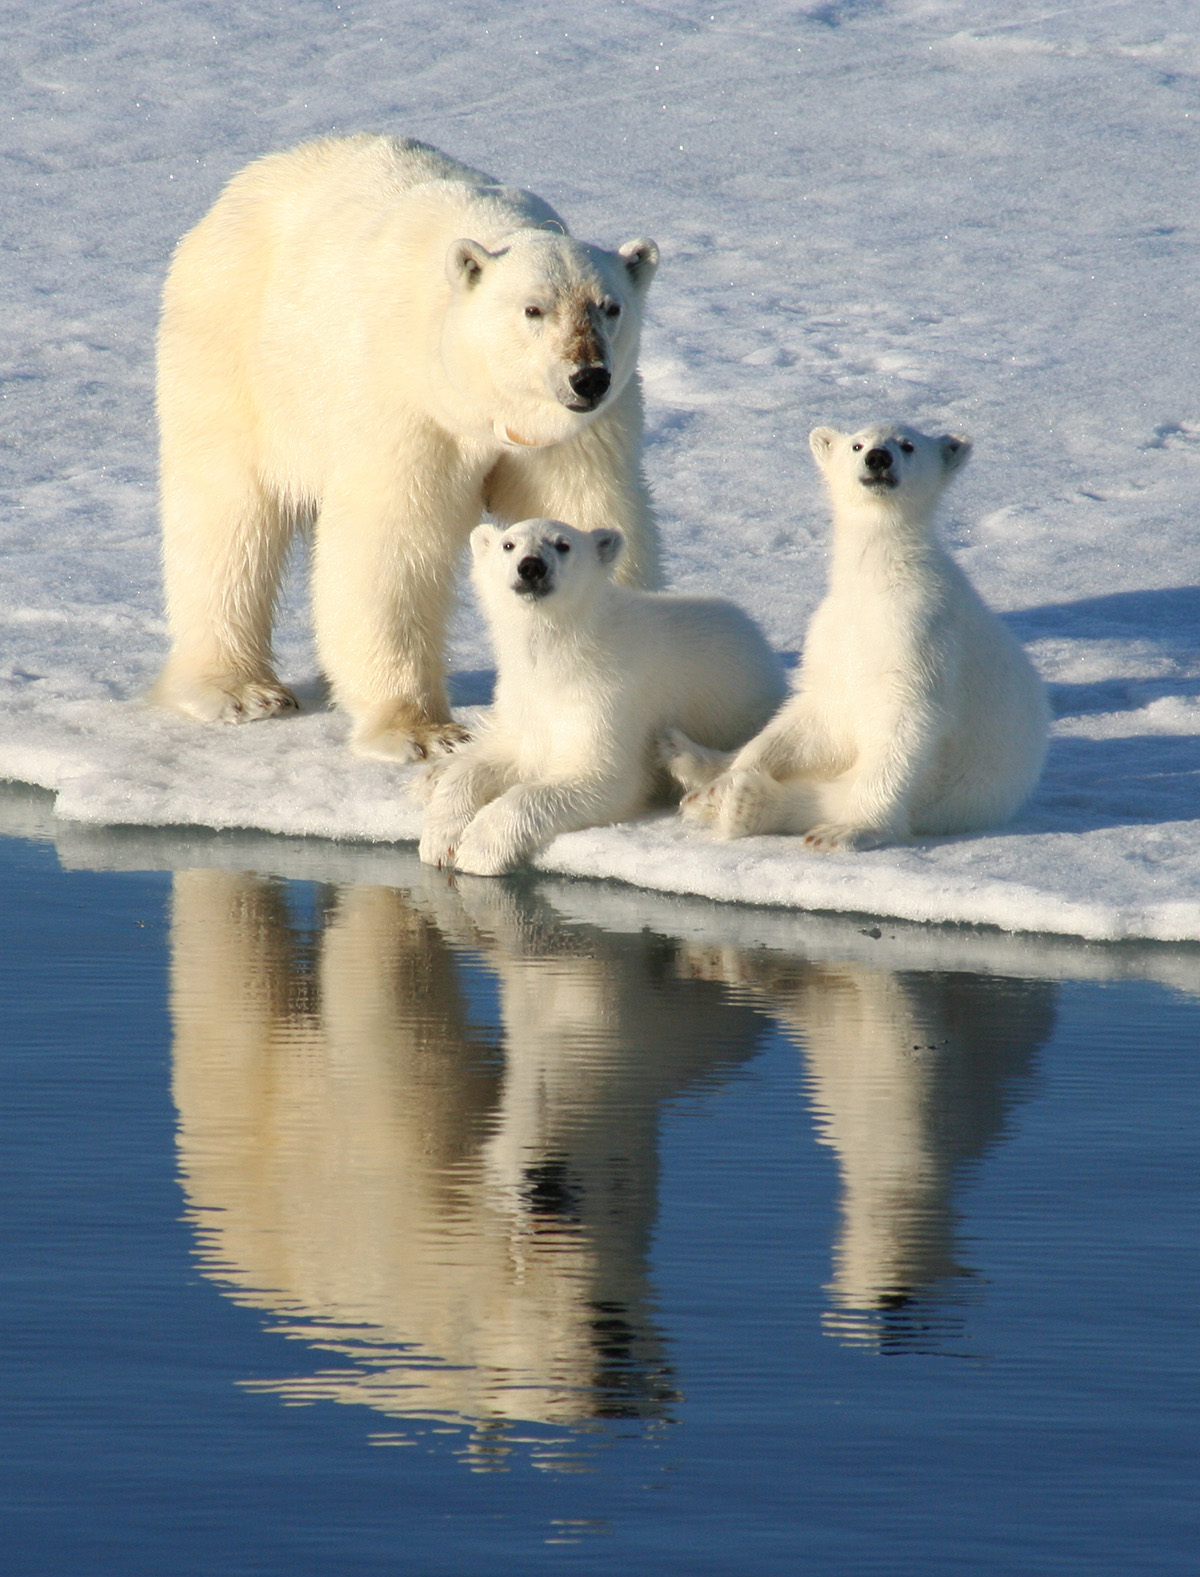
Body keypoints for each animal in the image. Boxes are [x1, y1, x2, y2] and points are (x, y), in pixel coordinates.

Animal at [147, 132, 665, 760]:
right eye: (534, 308)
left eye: (610, 307)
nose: (587, 377)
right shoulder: (405, 403)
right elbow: (391, 543)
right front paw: (423, 732)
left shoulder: (575, 436)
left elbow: (589, 511)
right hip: (233, 350)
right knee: (226, 515)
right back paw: (239, 689)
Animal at [419, 520, 785, 876]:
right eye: (508, 544)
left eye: (562, 544)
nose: (531, 567)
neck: (563, 657)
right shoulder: (526, 702)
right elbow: (497, 760)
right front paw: (440, 840)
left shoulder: (608, 697)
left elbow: (602, 778)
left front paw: (479, 849)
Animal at [665, 422, 1047, 851]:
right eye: (857, 444)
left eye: (908, 445)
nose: (878, 458)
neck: (877, 582)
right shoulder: (834, 634)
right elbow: (816, 715)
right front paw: (723, 781)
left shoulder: (920, 634)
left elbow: (905, 725)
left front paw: (847, 830)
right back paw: (689, 760)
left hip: (955, 796)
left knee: (834, 794)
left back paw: (744, 803)